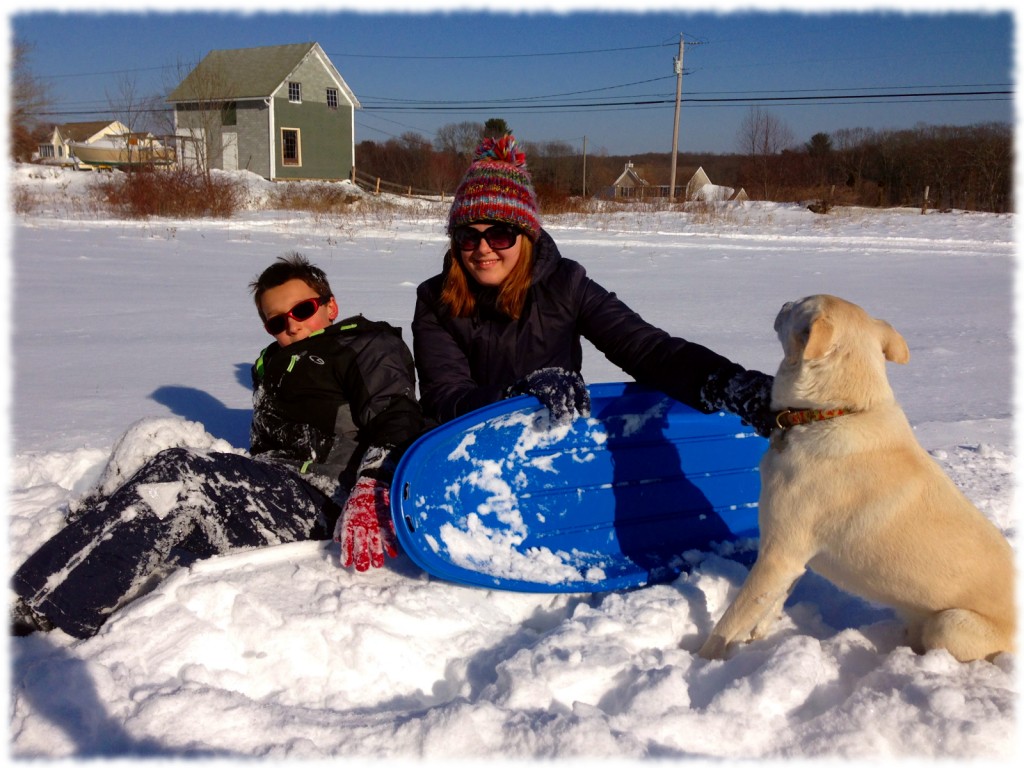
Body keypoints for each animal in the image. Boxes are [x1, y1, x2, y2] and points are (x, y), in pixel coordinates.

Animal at [700, 294, 1011, 663]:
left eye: (800, 304)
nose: (784, 301)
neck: (832, 413)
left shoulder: (780, 555)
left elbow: (729, 623)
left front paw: (701, 663)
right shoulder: (790, 561)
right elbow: (768, 610)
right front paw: (754, 644)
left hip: (949, 625)